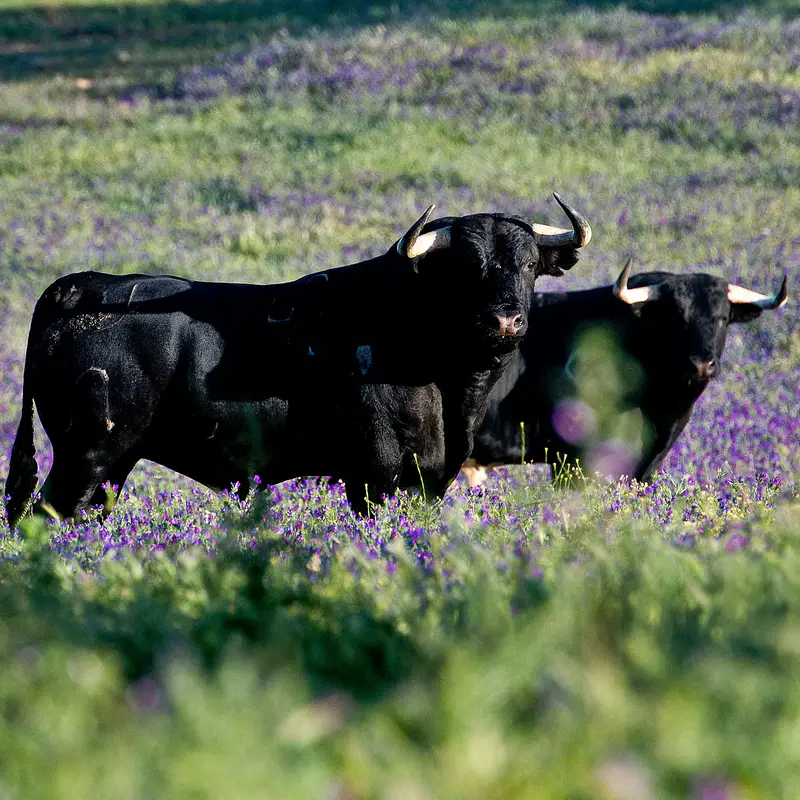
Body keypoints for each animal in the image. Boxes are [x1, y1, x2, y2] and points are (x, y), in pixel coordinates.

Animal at [4, 194, 592, 526]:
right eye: (467, 266)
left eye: (528, 264)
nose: (506, 322)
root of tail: (79, 286)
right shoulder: (373, 475)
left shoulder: (427, 480)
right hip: (88, 457)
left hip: (108, 467)